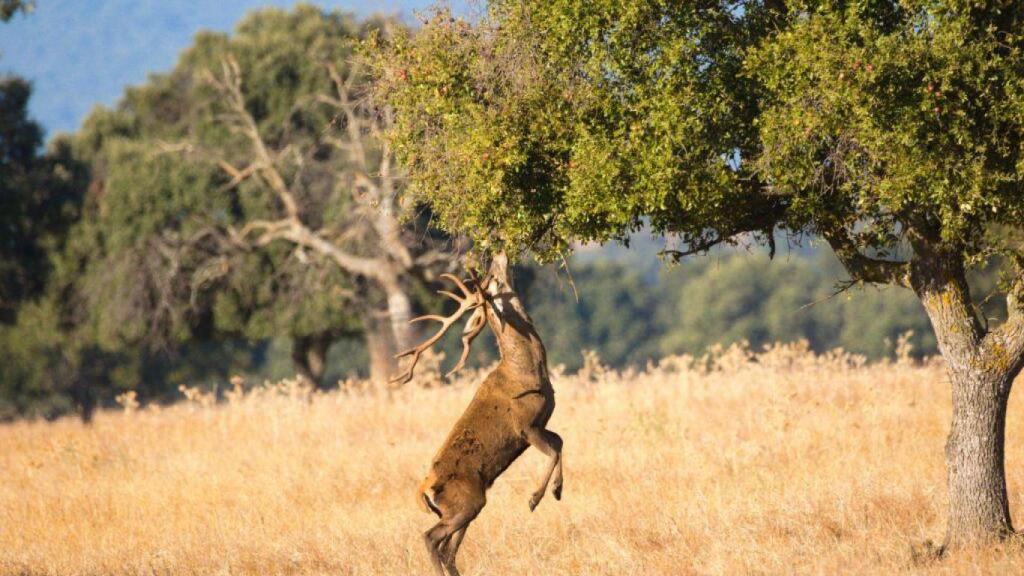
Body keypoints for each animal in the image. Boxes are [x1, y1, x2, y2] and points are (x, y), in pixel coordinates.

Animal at [391, 252, 564, 576]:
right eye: (493, 281)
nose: (499, 253)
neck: (528, 372)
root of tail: (426, 486)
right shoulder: (525, 426)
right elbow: (553, 451)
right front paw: (535, 498)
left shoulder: (542, 422)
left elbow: (559, 442)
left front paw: (558, 491)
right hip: (466, 502)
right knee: (431, 538)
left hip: (463, 506)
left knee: (449, 551)